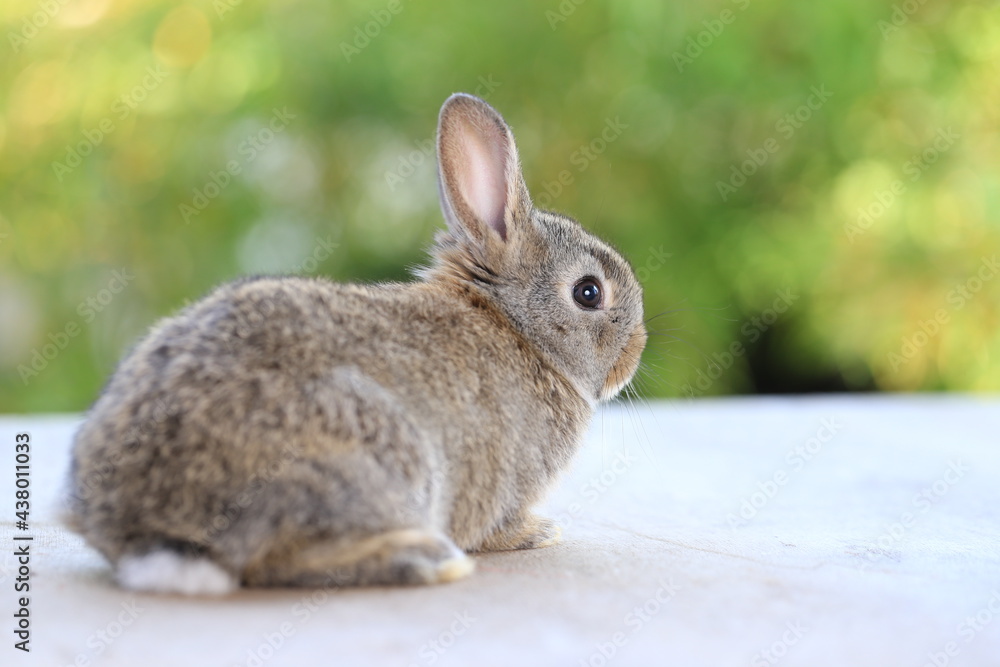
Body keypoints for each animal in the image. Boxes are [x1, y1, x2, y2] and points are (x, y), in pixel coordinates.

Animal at [64, 93, 647, 595]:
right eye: (589, 292)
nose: (636, 353)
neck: (516, 327)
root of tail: (153, 531)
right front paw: (538, 533)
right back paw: (423, 561)